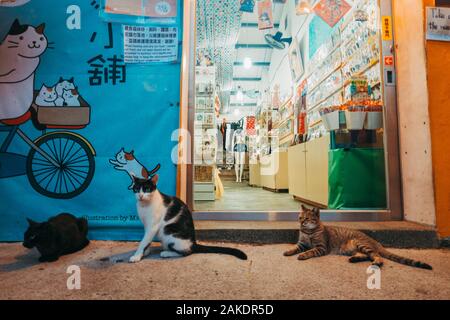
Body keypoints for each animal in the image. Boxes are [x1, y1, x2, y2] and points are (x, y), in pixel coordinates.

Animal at [284, 205, 432, 270]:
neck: (308, 232)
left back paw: (376, 263)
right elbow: (295, 247)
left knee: (377, 256)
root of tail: (375, 242)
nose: (301, 223)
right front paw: (288, 251)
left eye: (307, 219)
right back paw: (354, 259)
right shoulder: (301, 244)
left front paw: (302, 255)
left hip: (361, 244)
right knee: (367, 256)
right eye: (300, 217)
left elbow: (310, 251)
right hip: (355, 249)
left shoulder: (321, 247)